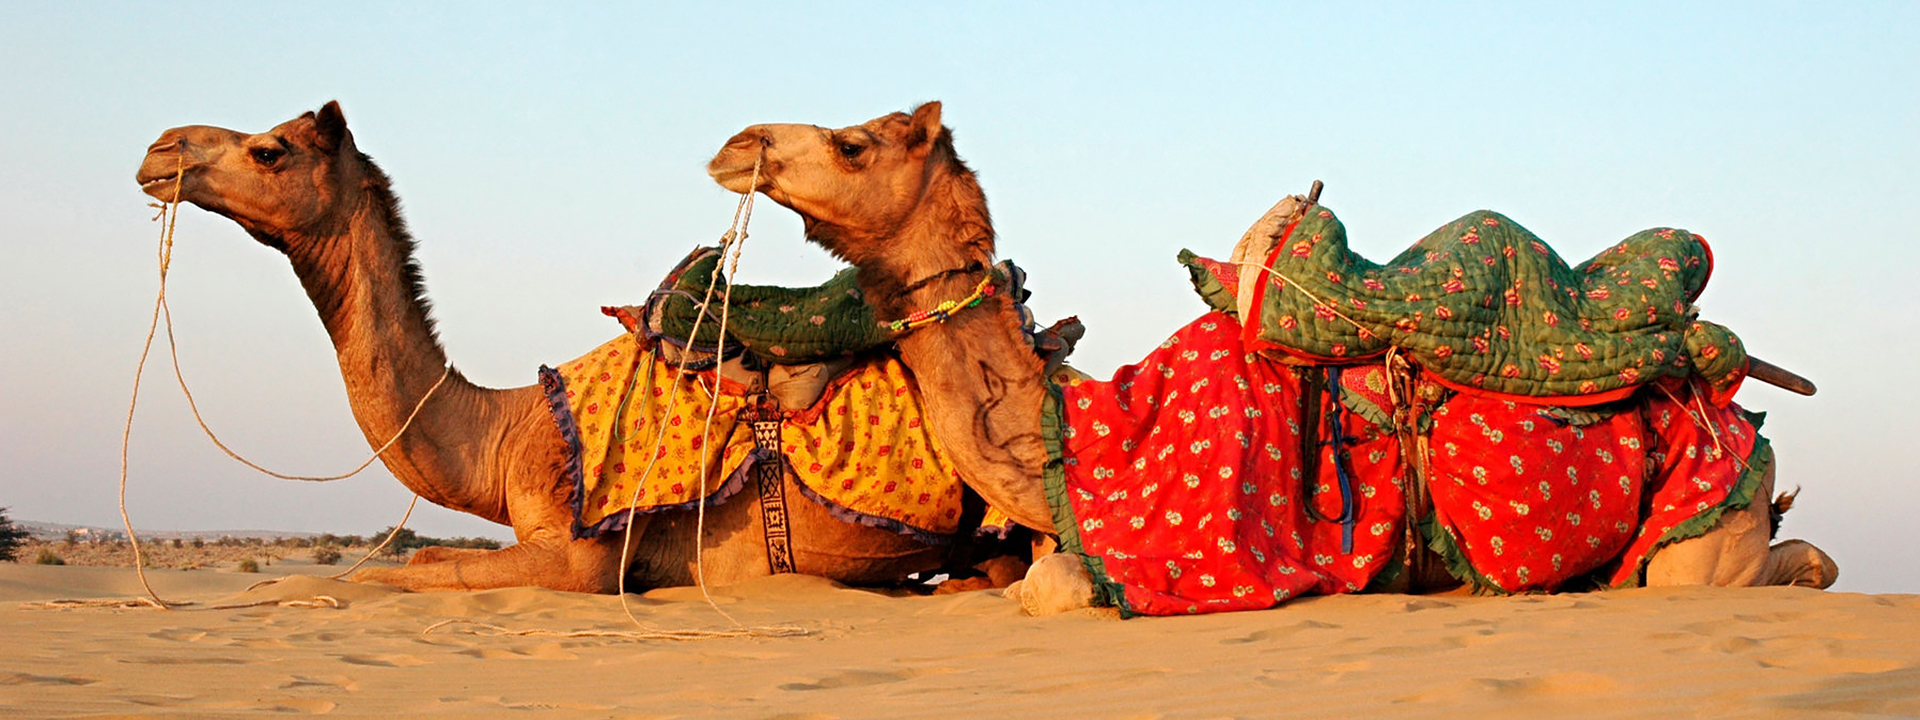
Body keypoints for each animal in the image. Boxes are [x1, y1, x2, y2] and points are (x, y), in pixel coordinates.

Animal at [129, 102, 990, 599]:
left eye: (269, 151)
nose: (159, 149)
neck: (505, 429)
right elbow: (418, 565)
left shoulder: (583, 553)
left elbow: (419, 568)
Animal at [710, 102, 1843, 622]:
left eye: (854, 144)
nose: (737, 142)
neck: (1074, 431)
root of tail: (1740, 411)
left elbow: (1057, 583)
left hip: (1704, 517)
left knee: (1768, 570)